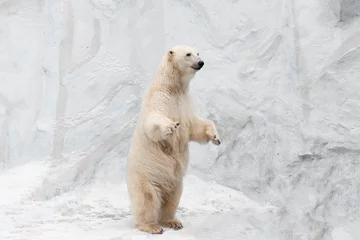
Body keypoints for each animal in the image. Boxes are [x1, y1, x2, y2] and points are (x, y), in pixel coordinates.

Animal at [126, 44, 222, 233]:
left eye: (198, 52)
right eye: (188, 54)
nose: (201, 62)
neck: (172, 87)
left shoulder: (184, 102)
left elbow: (195, 126)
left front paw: (215, 136)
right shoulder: (159, 99)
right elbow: (153, 122)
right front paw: (170, 126)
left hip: (175, 181)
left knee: (172, 199)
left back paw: (172, 221)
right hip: (145, 175)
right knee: (147, 198)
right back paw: (152, 226)